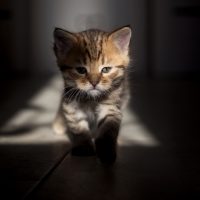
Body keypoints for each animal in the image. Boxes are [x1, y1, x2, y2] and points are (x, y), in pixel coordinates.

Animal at [52, 25, 132, 163]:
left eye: (106, 69)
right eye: (81, 70)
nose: (94, 83)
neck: (91, 99)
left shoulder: (110, 107)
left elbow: (108, 129)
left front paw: (106, 151)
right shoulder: (72, 105)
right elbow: (78, 128)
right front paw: (83, 146)